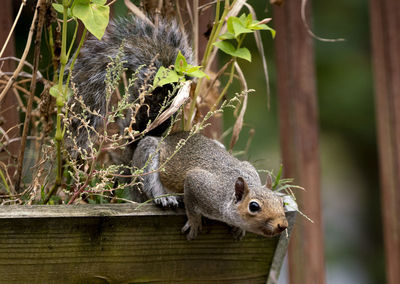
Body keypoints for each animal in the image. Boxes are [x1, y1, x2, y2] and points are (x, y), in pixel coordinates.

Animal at [133, 131, 290, 240]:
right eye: (254, 206)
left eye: (281, 202)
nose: (282, 225)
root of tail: (165, 138)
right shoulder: (201, 184)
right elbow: (191, 203)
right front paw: (194, 223)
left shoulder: (248, 168)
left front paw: (240, 229)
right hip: (148, 155)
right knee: (150, 185)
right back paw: (164, 197)